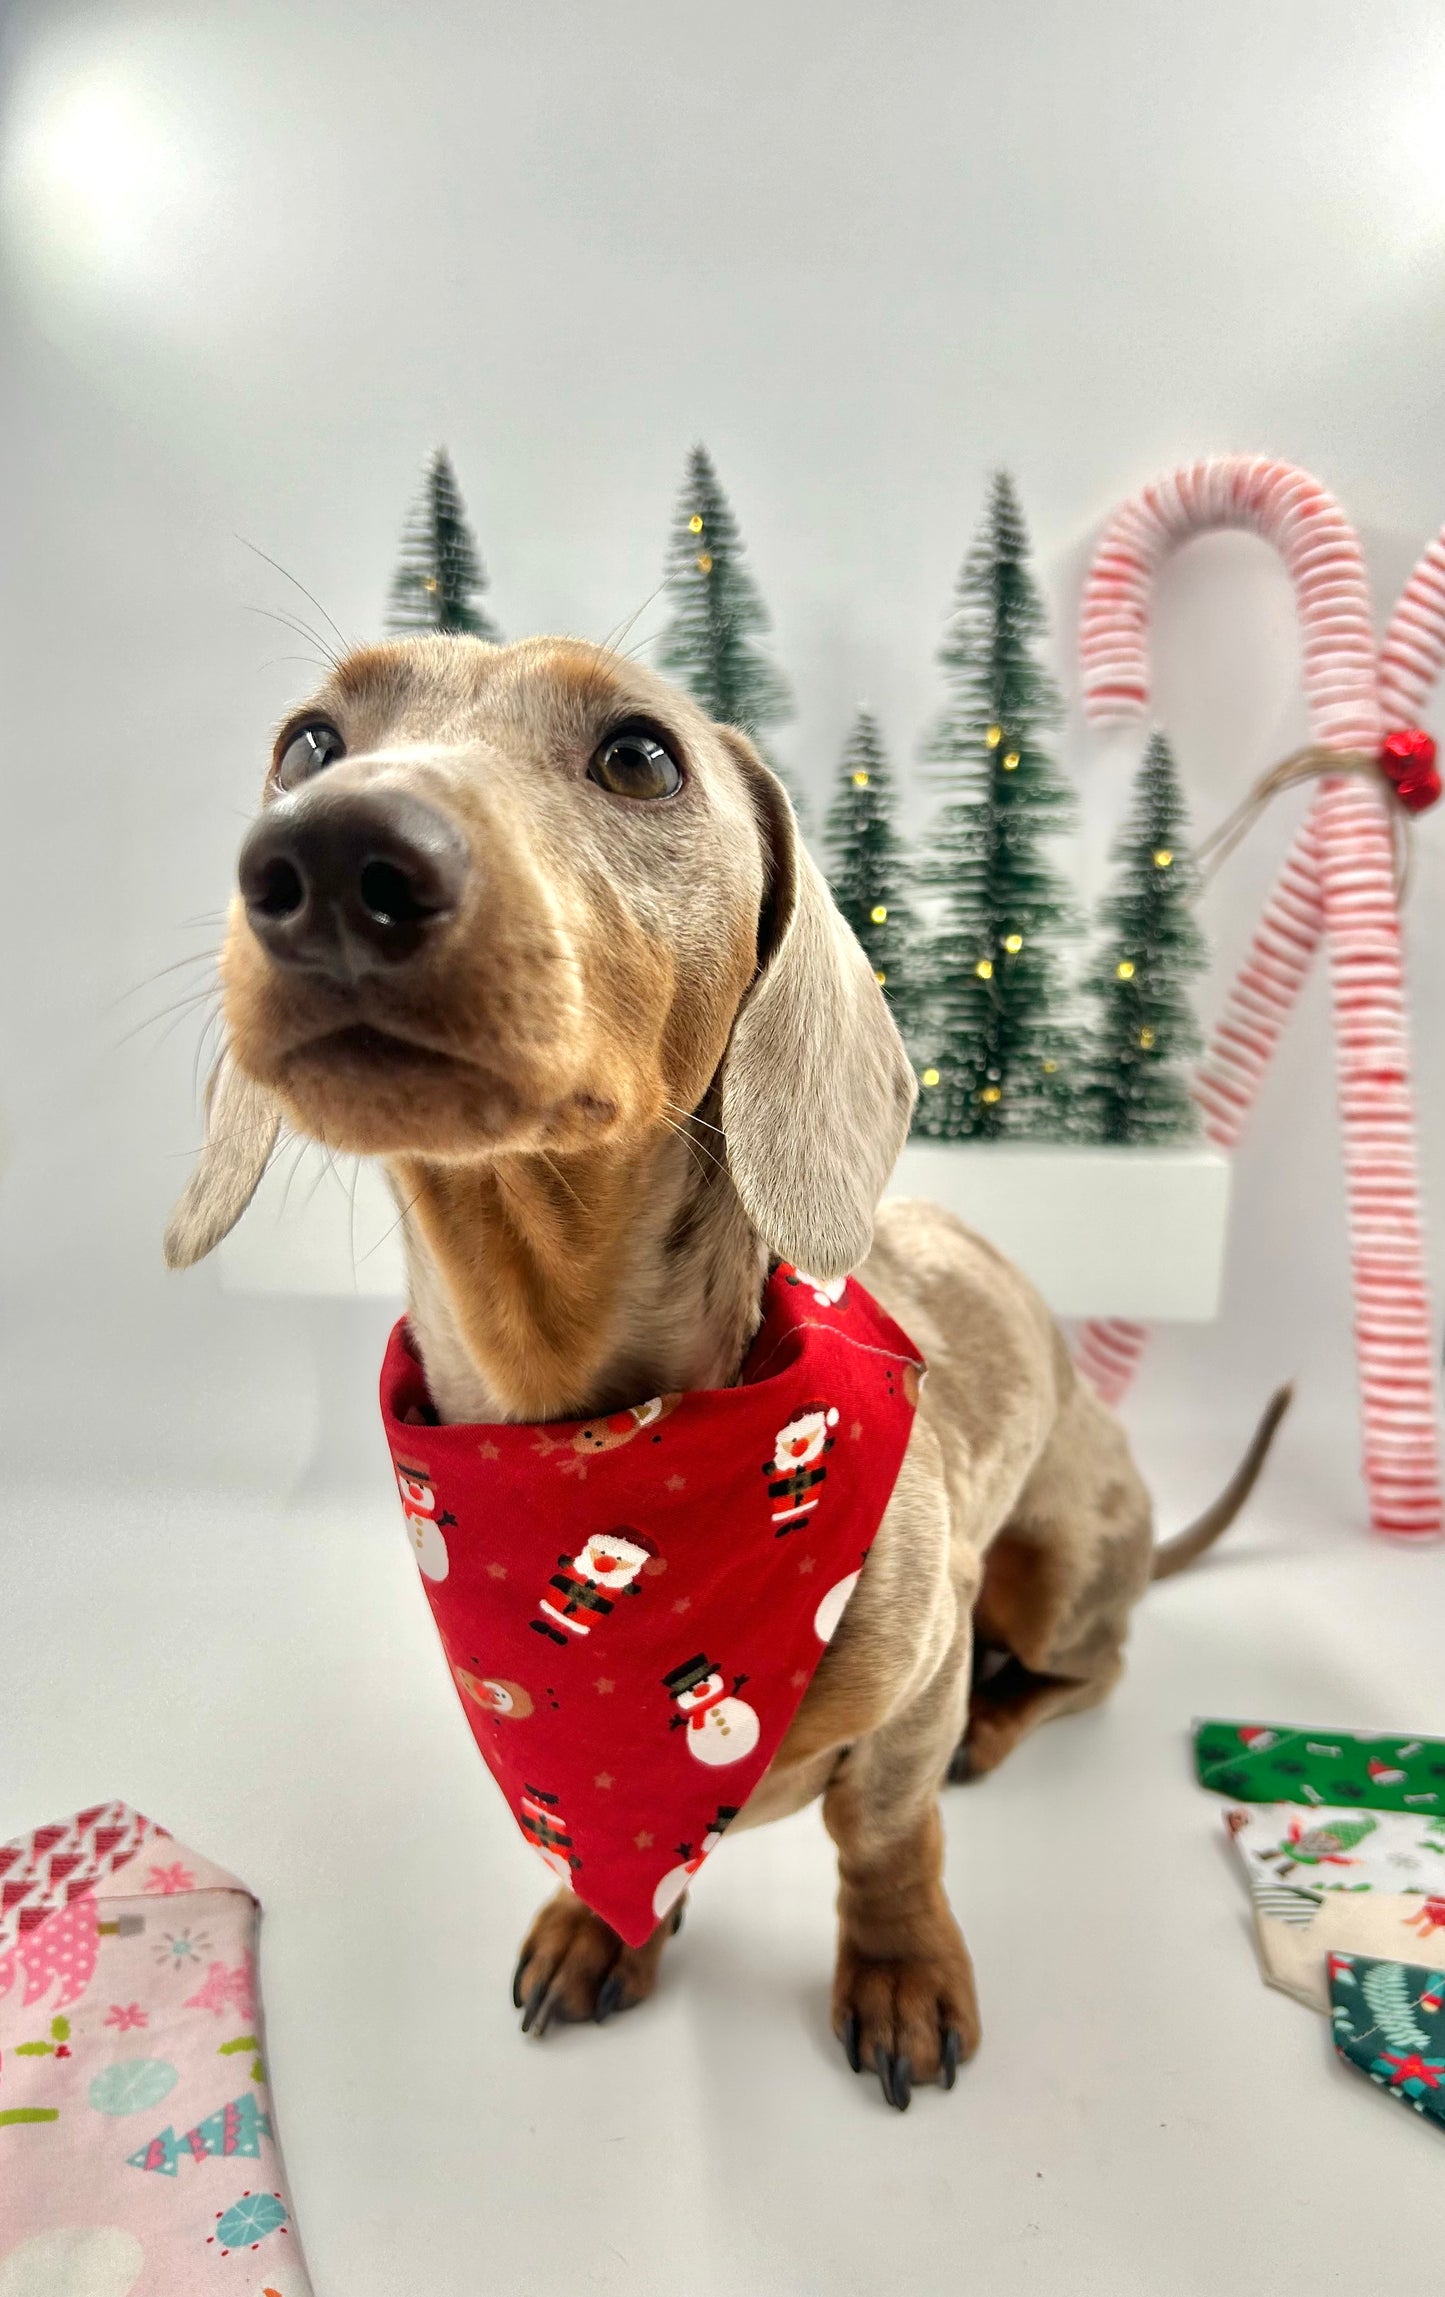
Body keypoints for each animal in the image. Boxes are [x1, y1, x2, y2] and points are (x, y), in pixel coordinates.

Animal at [163, 638, 1277, 2104]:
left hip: (1052, 1573)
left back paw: (1002, 1715)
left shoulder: (911, 1692)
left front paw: (899, 1968)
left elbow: (885, 1836)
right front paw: (600, 1927)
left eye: (642, 756)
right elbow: (616, 1859)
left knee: (1089, 1664)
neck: (588, 1434)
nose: (337, 856)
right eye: (307, 741)